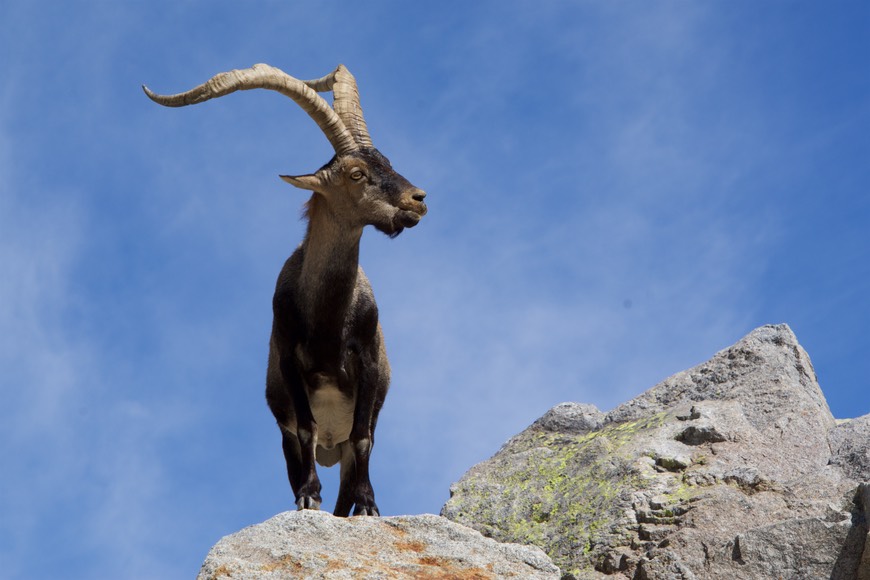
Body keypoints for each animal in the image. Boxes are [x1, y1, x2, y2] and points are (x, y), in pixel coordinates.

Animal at [144, 64, 427, 516]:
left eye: (387, 160)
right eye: (356, 174)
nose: (417, 200)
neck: (328, 318)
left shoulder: (367, 364)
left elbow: (364, 437)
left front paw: (369, 505)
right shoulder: (290, 363)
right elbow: (308, 428)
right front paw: (309, 496)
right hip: (287, 435)